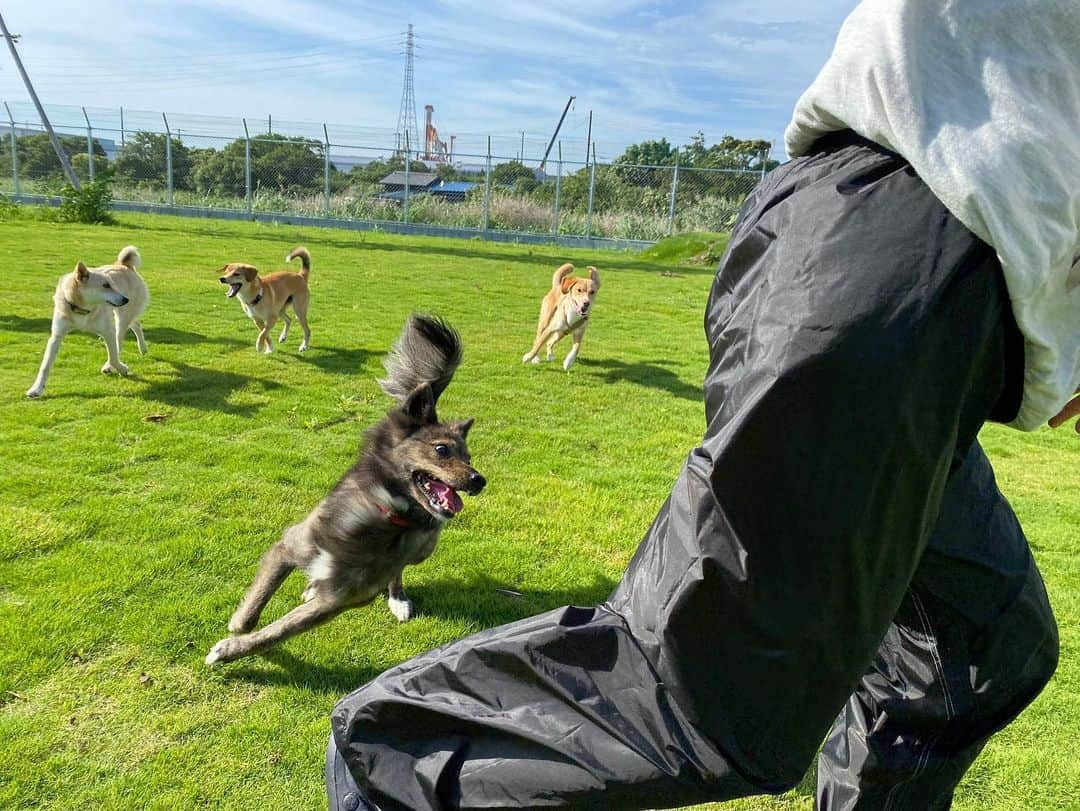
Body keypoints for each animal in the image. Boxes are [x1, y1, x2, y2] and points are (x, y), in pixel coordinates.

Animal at [27, 247, 149, 399]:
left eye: (112, 285)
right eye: (106, 285)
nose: (125, 299)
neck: (81, 309)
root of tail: (123, 265)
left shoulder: (108, 332)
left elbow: (113, 356)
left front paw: (121, 368)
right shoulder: (56, 336)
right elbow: (45, 365)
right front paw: (36, 389)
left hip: (122, 317)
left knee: (119, 341)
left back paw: (112, 364)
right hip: (124, 315)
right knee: (136, 325)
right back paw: (143, 349)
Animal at [207, 313, 486, 665]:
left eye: (469, 458)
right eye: (441, 450)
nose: (479, 480)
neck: (384, 512)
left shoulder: (337, 601)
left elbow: (277, 631)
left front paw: (231, 649)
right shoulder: (288, 546)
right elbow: (257, 604)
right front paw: (238, 625)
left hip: (421, 552)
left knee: (398, 572)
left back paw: (397, 599)